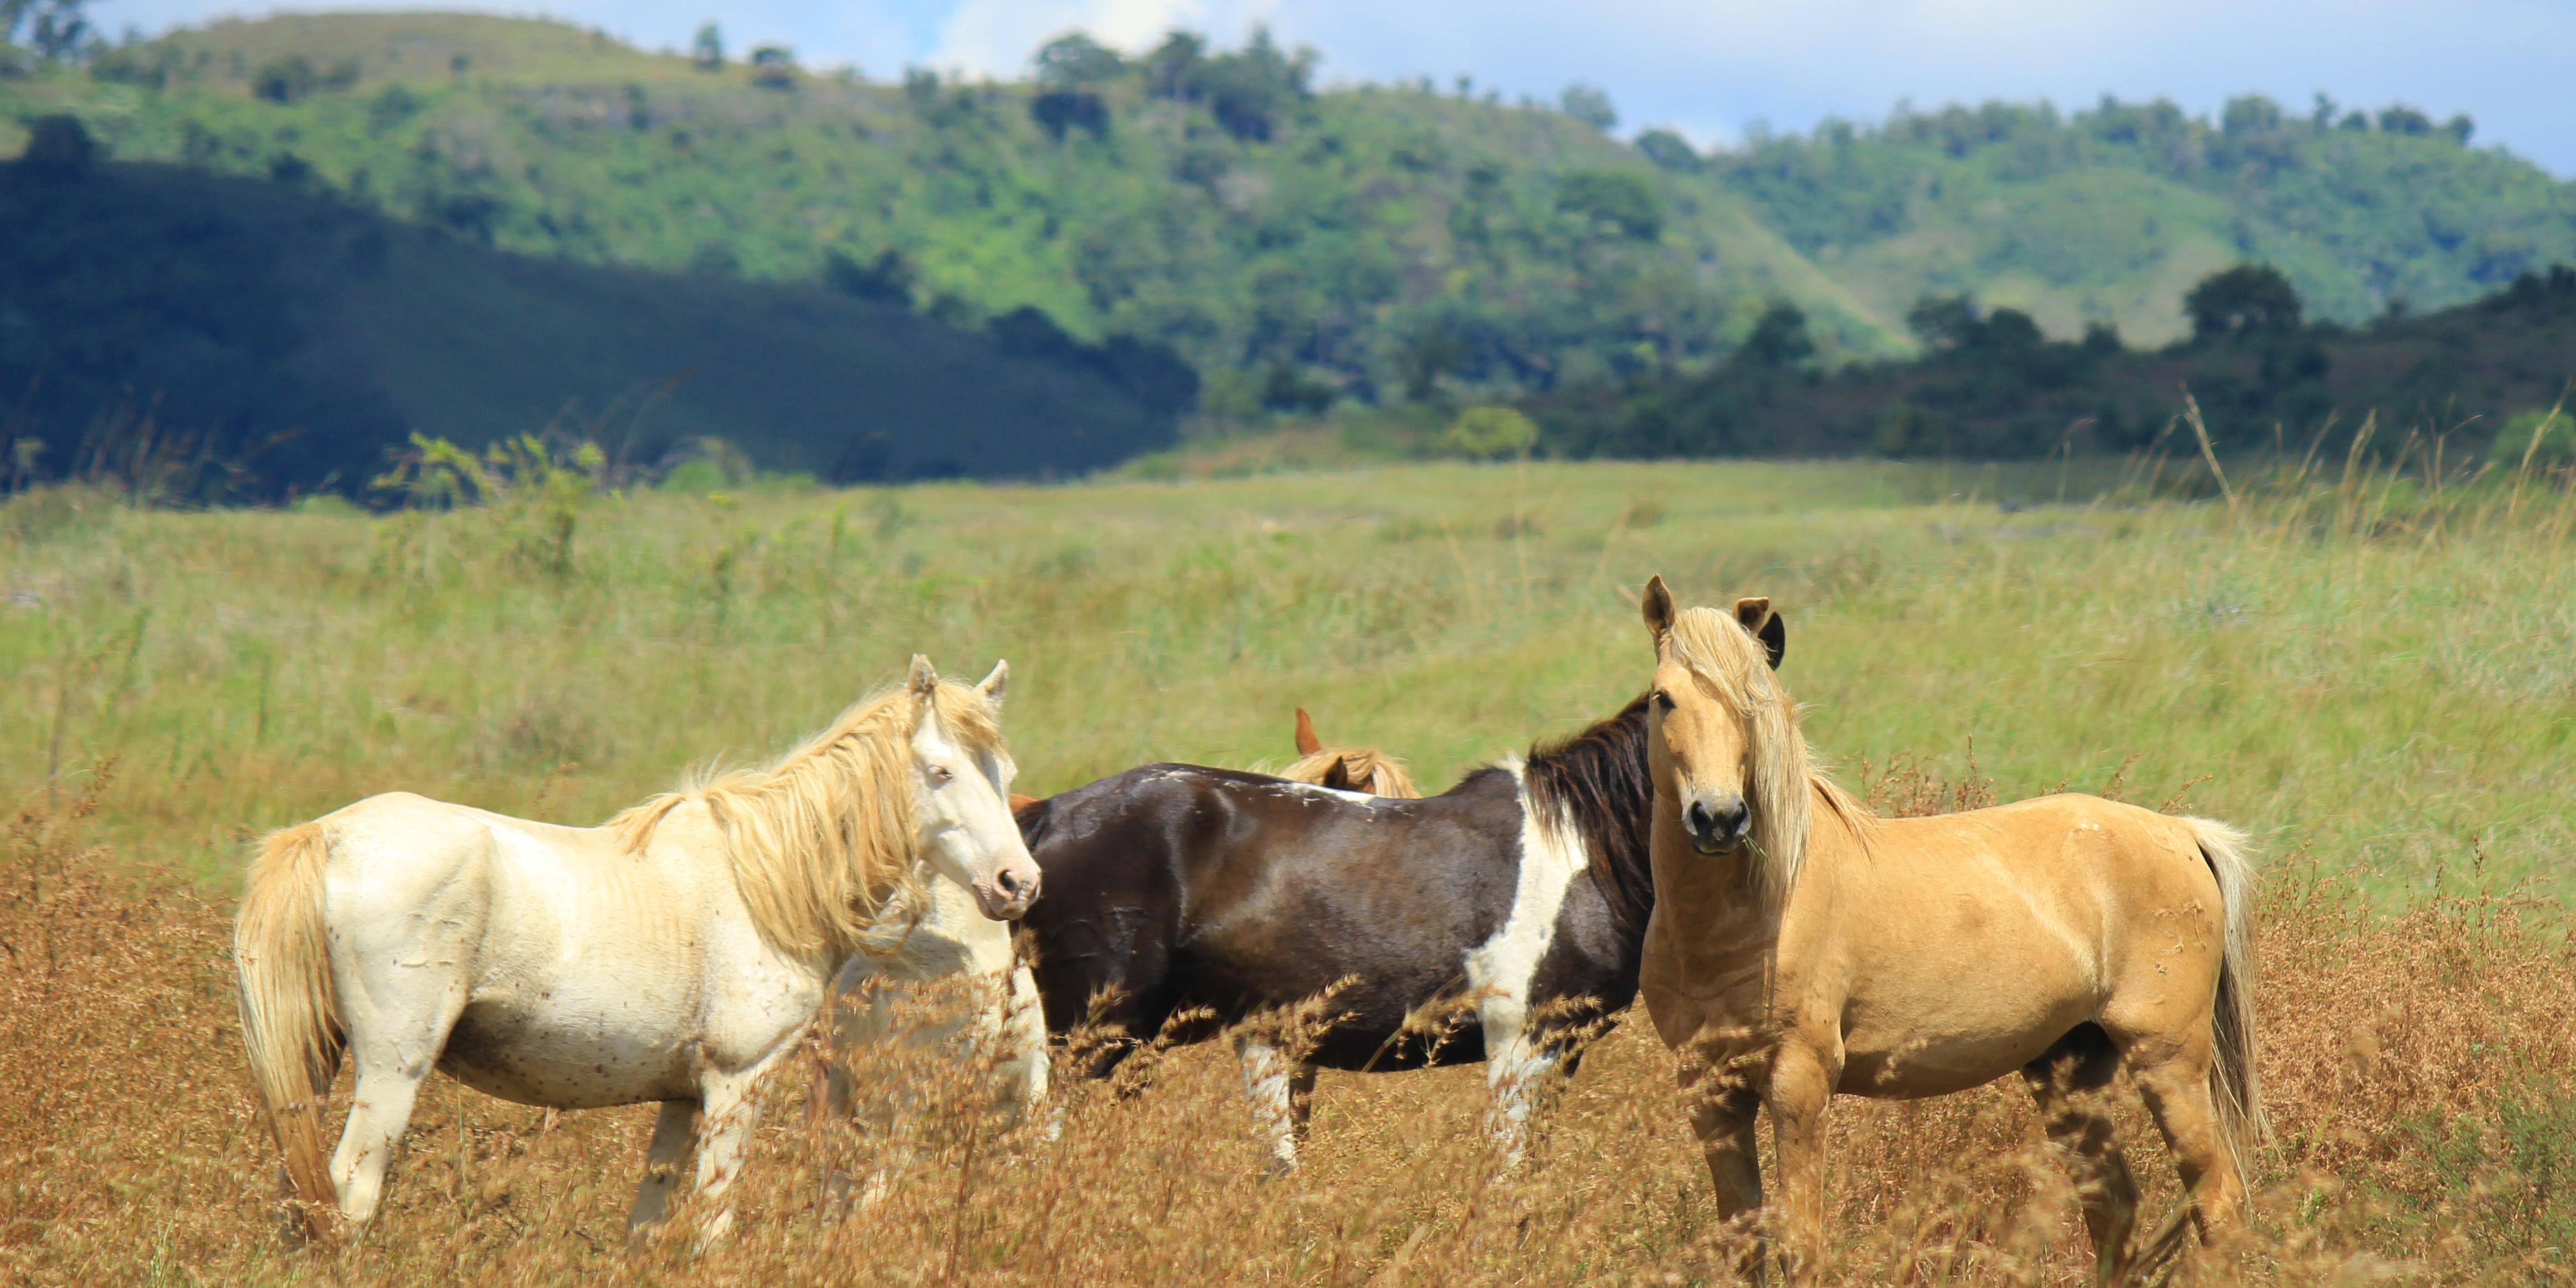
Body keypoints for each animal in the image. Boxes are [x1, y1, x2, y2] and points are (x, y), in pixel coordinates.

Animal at [232, 659, 1035, 1241]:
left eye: (1008, 776)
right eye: (941, 771)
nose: (1018, 883)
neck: (769, 881)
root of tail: (328, 835)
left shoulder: (682, 1098)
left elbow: (646, 1228)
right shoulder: (737, 1082)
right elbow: (712, 1224)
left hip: (314, 1063)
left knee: (298, 1197)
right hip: (393, 1071)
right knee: (348, 1194)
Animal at [1638, 579, 2267, 1282]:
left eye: (1751, 701)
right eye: (1663, 698)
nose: (1718, 818)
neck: (1755, 913)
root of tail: (2182, 833)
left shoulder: (1799, 1081)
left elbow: (1801, 1243)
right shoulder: (1710, 1092)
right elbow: (1742, 1244)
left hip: (2169, 1064)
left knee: (2218, 1204)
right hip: (2069, 1071)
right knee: (2115, 1210)